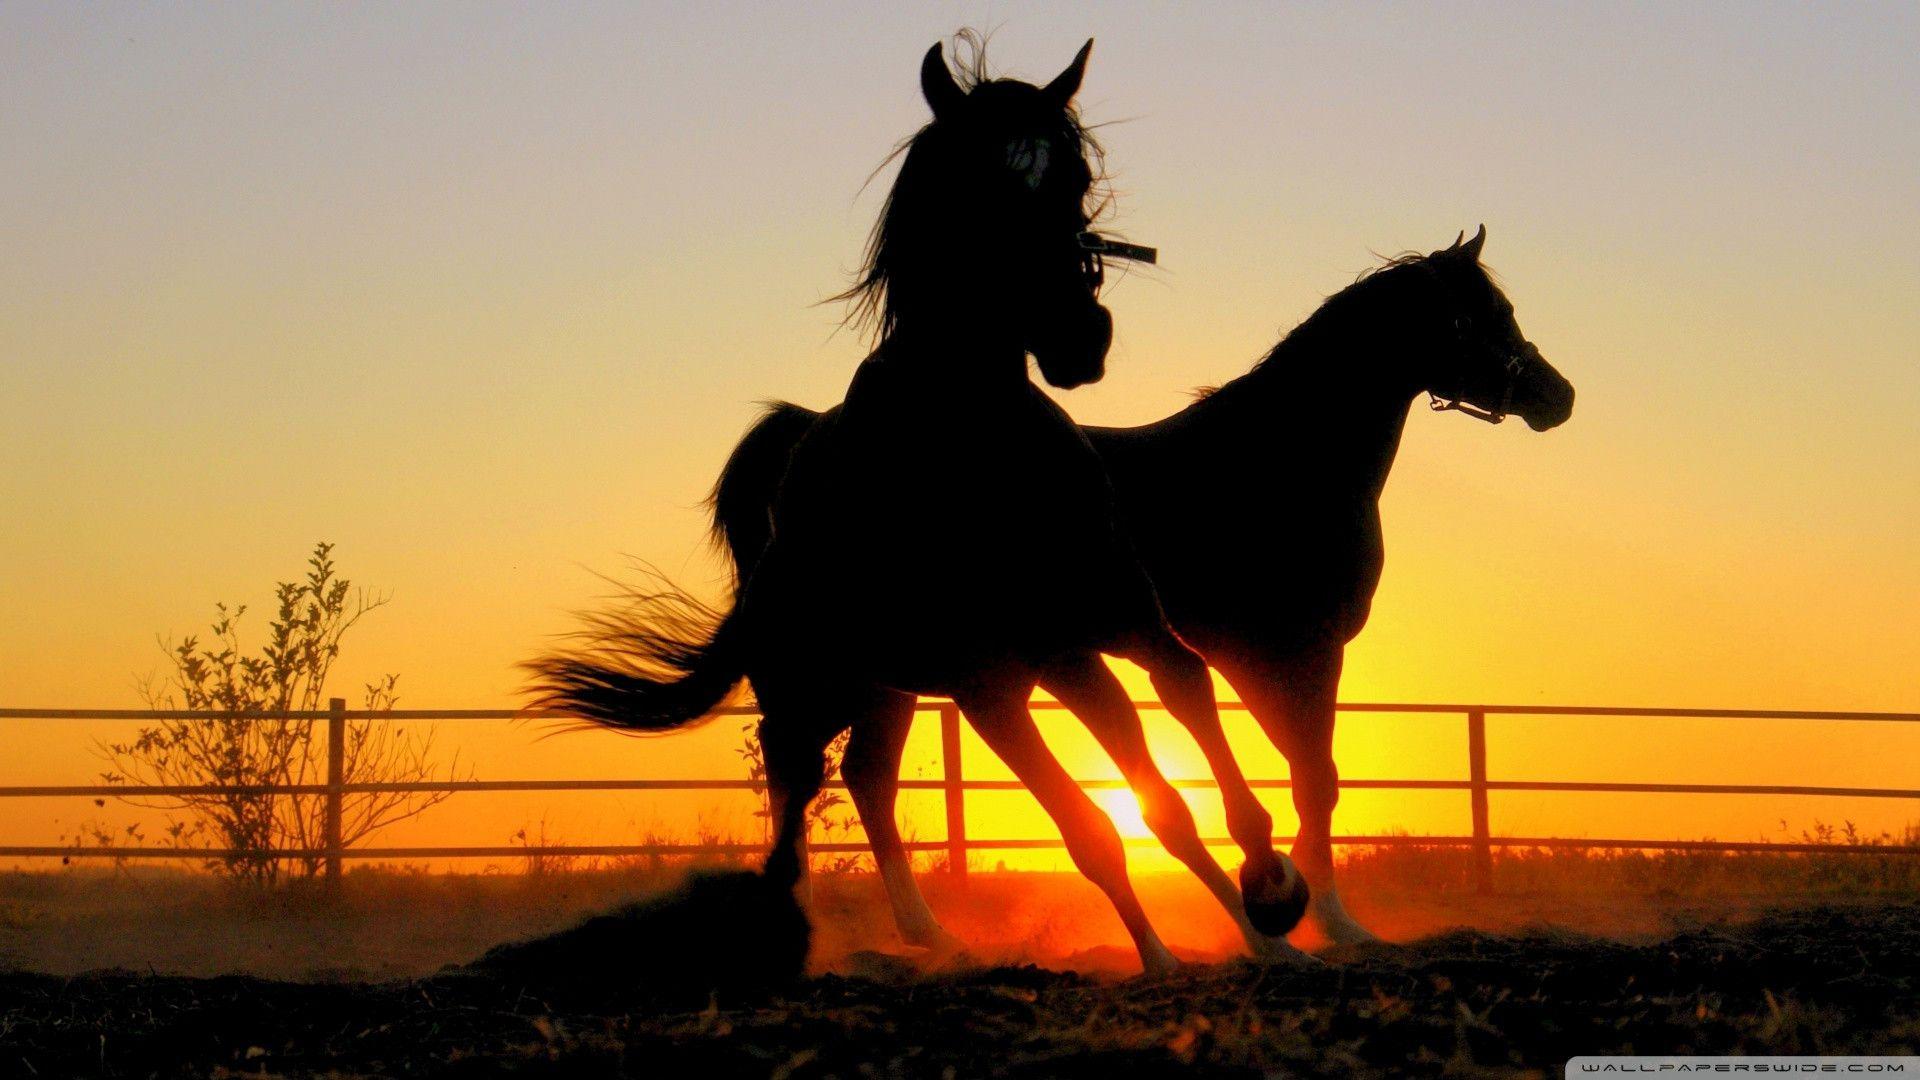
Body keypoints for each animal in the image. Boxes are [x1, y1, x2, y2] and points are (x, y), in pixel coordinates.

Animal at [528, 37, 1306, 976]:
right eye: (976, 184)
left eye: (1075, 174)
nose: (1081, 336)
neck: (978, 444)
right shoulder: (987, 686)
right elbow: (1091, 831)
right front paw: (1163, 957)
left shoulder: (1112, 626)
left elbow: (1183, 716)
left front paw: (1271, 891)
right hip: (812, 688)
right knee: (797, 782)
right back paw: (793, 923)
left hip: (911, 687)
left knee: (871, 773)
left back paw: (934, 934)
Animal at [711, 227, 1575, 950]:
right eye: (1485, 315)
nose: (1556, 395)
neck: (1279, 460)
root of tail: (810, 443)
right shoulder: (1283, 652)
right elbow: (1314, 781)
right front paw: (1324, 917)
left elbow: (1304, 778)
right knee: (804, 764)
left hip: (892, 681)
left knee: (860, 775)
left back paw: (926, 934)